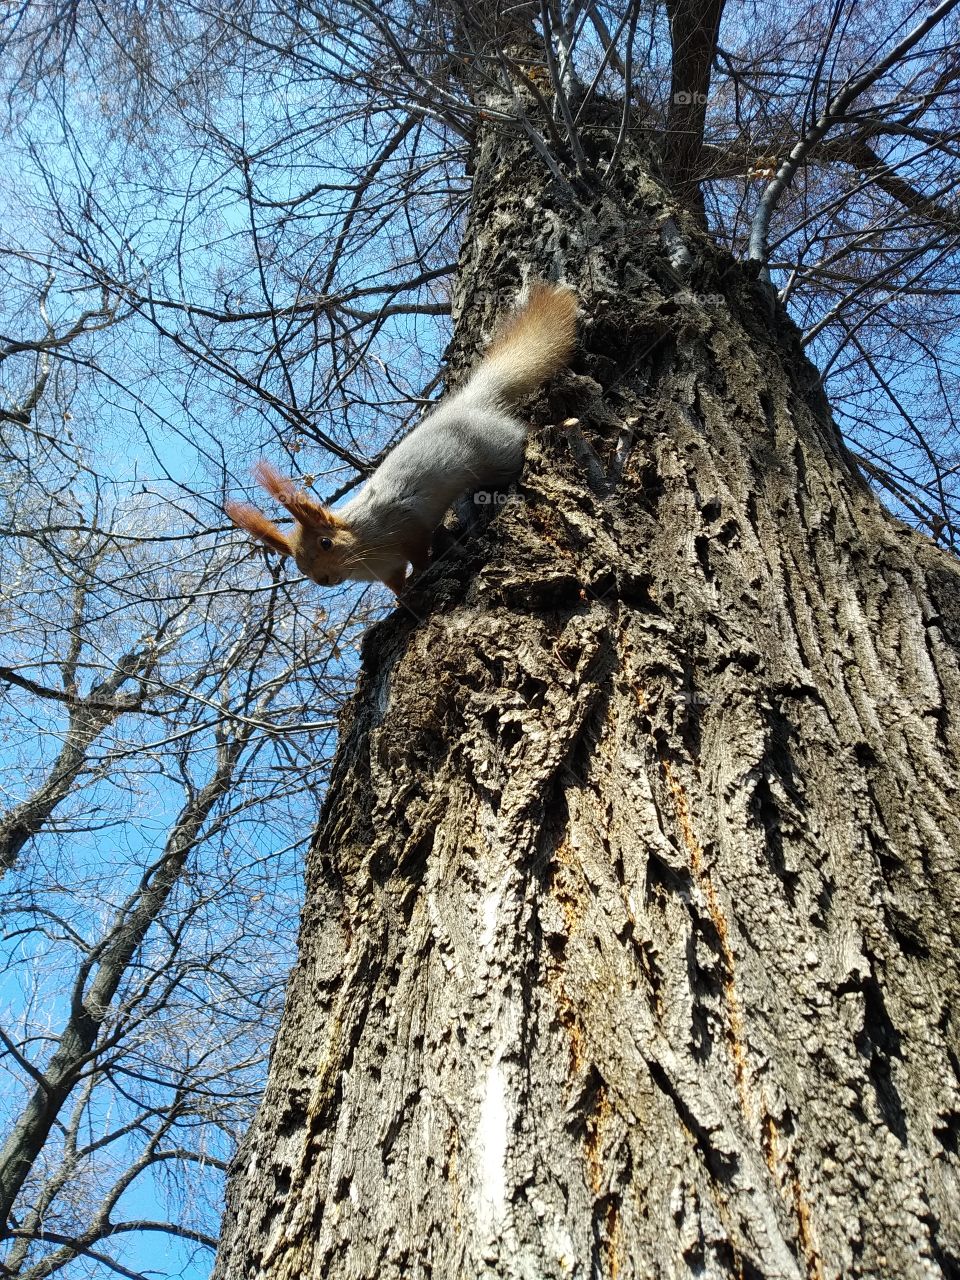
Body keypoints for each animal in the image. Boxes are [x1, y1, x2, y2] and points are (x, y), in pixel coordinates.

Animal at [225, 280, 577, 595]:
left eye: (325, 543)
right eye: (300, 566)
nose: (324, 580)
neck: (363, 545)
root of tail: (470, 402)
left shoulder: (406, 525)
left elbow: (419, 550)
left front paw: (423, 570)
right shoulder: (388, 570)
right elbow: (396, 583)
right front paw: (401, 597)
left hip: (496, 448)